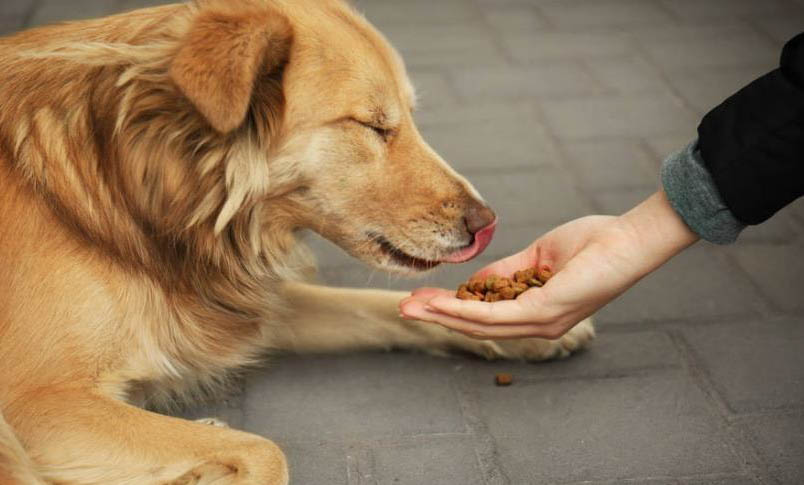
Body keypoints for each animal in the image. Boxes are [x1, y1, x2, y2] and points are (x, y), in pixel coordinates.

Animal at [1, 1, 596, 482]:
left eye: (408, 117)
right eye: (373, 125)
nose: (487, 223)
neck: (138, 192)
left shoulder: (244, 310)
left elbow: (383, 306)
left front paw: (525, 330)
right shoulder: (41, 401)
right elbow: (265, 452)